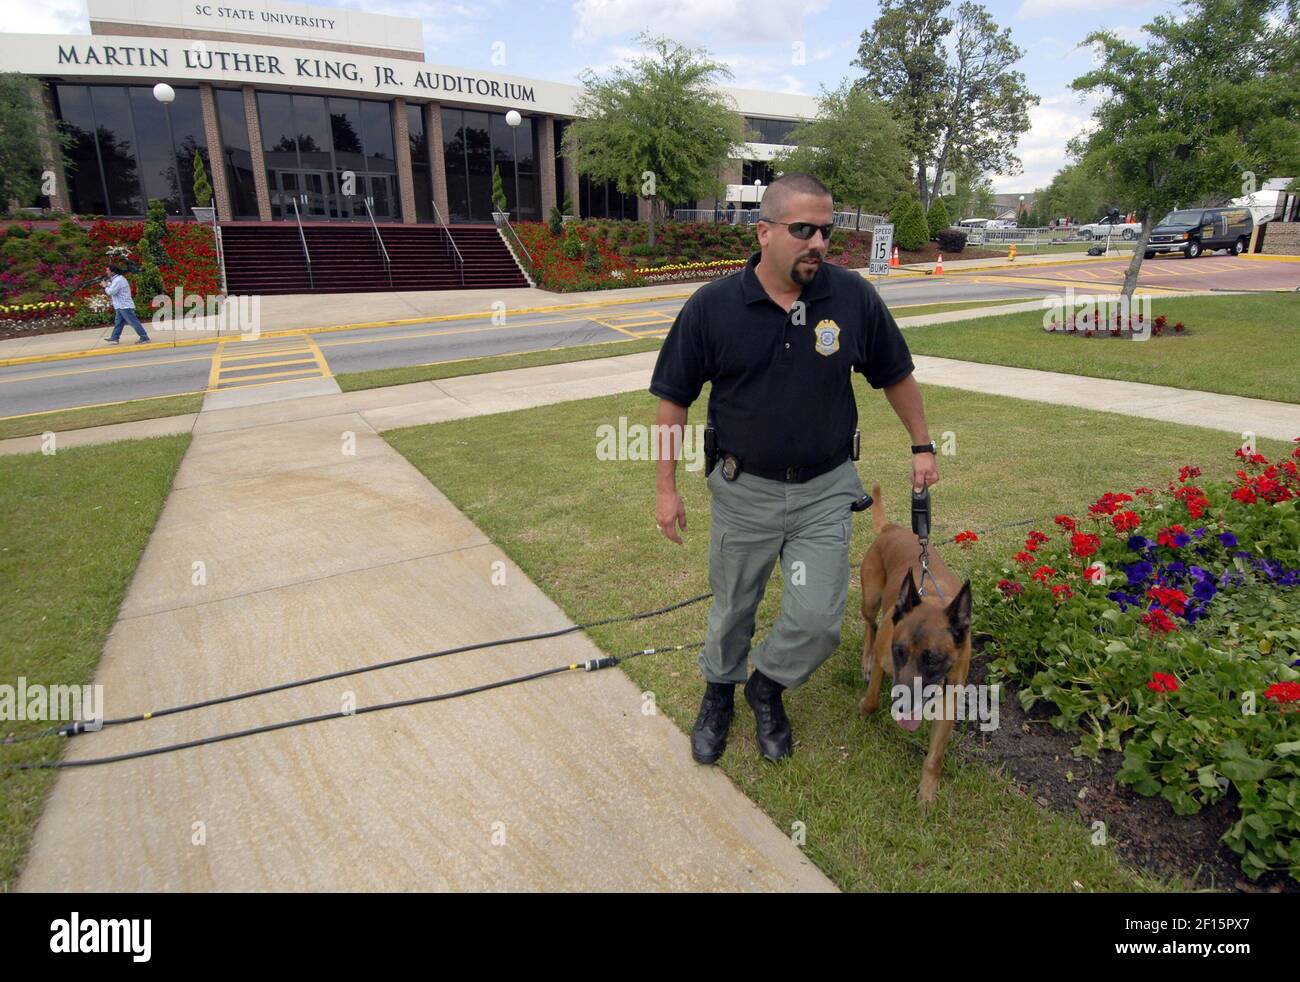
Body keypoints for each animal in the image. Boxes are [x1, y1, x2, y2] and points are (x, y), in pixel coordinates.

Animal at [857, 483, 972, 816]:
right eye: (899, 651)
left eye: (932, 659)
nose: (903, 706)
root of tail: (893, 528)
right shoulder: (886, 660)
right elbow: (872, 700)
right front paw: (865, 708)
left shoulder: (948, 701)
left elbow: (935, 758)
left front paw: (926, 796)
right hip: (870, 600)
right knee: (869, 626)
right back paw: (865, 659)